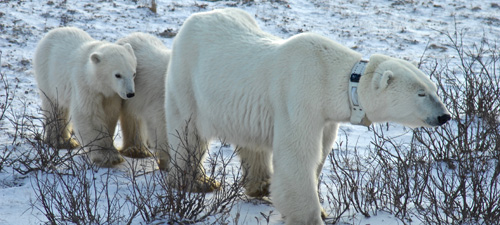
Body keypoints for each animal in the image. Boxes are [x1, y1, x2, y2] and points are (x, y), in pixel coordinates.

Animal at [34, 26, 137, 167]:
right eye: (118, 75)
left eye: (133, 73)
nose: (130, 93)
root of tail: (54, 31)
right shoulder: (85, 85)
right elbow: (88, 115)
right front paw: (108, 156)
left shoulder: (112, 94)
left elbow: (109, 115)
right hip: (48, 74)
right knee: (54, 107)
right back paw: (60, 141)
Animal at [165, 7, 454, 224]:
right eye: (421, 93)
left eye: (433, 88)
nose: (444, 116)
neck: (331, 76)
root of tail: (196, 18)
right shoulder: (299, 94)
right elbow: (298, 156)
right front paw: (312, 217)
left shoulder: (325, 117)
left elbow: (320, 154)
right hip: (187, 79)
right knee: (187, 134)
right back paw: (198, 182)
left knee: (250, 141)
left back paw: (259, 185)